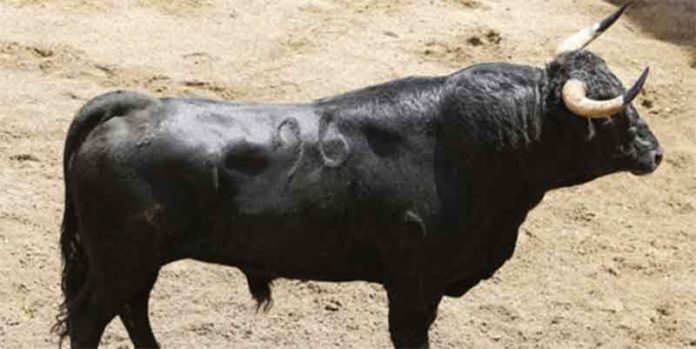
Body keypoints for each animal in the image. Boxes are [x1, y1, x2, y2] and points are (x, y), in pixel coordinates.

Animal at [57, 12, 660, 348]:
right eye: (610, 114)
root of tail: (133, 104)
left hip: (136, 261)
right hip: (121, 259)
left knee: (133, 310)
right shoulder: (414, 285)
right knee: (91, 320)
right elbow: (408, 337)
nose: (654, 152)